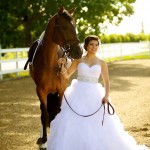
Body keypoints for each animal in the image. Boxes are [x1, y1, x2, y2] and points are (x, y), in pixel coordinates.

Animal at [23, 6, 82, 149]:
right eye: (64, 27)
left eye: (75, 26)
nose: (79, 51)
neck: (49, 62)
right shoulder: (41, 90)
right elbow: (45, 114)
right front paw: (44, 139)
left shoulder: (61, 89)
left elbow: (58, 112)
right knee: (43, 112)